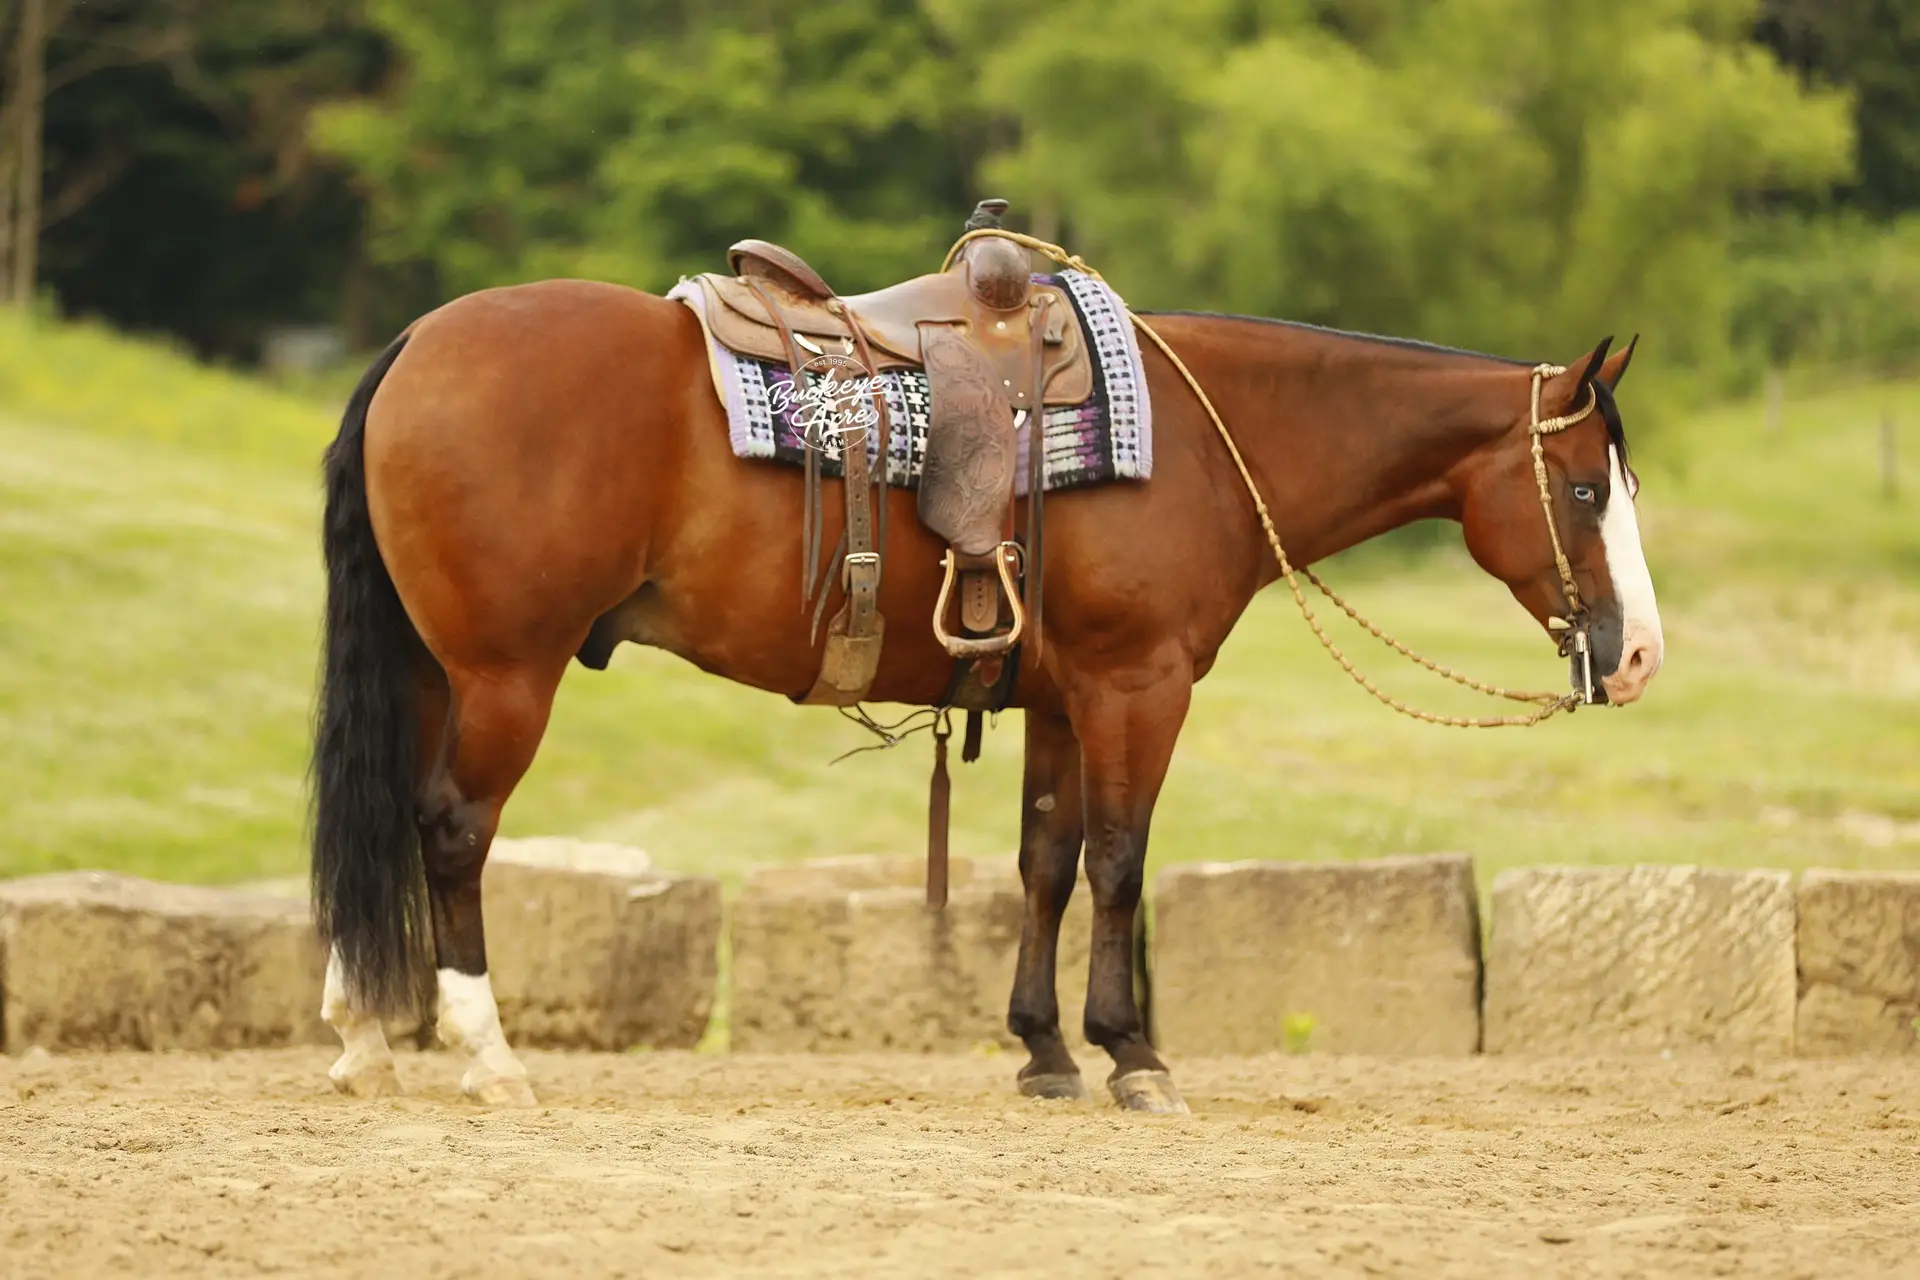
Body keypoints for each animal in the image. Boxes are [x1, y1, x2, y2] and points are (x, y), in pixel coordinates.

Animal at [310, 267, 1662, 1113]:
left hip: (431, 671)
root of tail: (416, 345)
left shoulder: (1062, 700)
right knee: (452, 829)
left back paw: (364, 1033)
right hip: (504, 675)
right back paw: (490, 1056)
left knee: (386, 817)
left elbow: (1046, 861)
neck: (1200, 439)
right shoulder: (1136, 685)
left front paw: (1045, 1049)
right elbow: (1119, 860)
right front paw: (1132, 1052)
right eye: (1585, 488)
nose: (1639, 653)